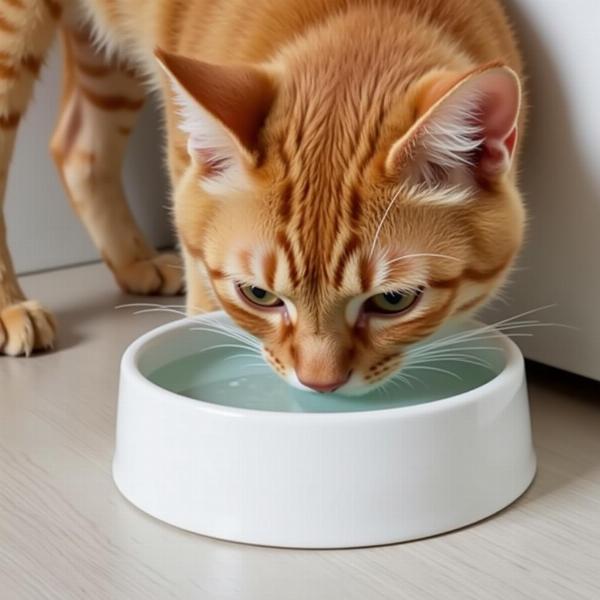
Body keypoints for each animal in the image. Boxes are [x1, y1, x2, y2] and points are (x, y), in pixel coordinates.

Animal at [0, 1, 524, 398]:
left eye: (393, 300)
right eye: (258, 295)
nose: (319, 384)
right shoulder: (182, 161)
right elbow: (201, 280)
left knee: (77, 149)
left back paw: (133, 261)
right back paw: (12, 308)